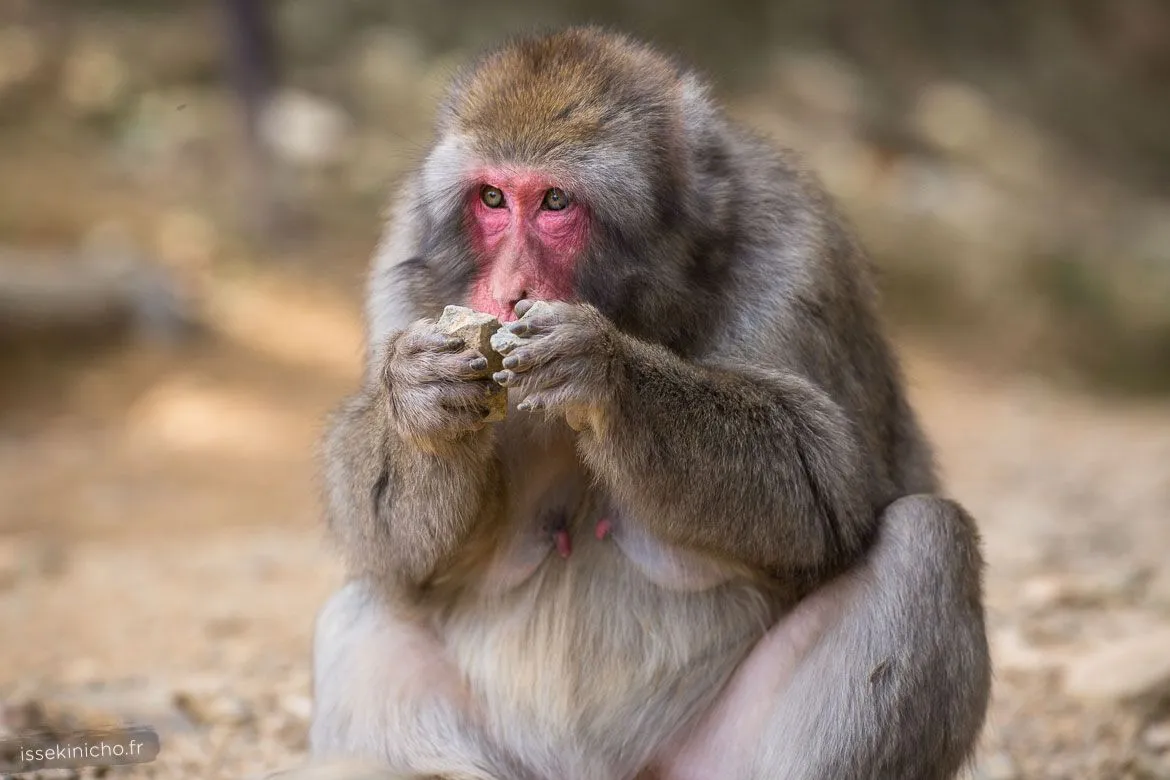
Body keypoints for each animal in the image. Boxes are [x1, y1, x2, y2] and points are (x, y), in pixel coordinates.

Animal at [309, 26, 991, 780]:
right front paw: (420, 401)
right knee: (364, 606)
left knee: (928, 540)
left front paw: (606, 371)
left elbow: (828, 490)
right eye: (491, 197)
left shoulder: (798, 259)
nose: (508, 290)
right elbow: (402, 560)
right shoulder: (402, 268)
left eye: (555, 202)